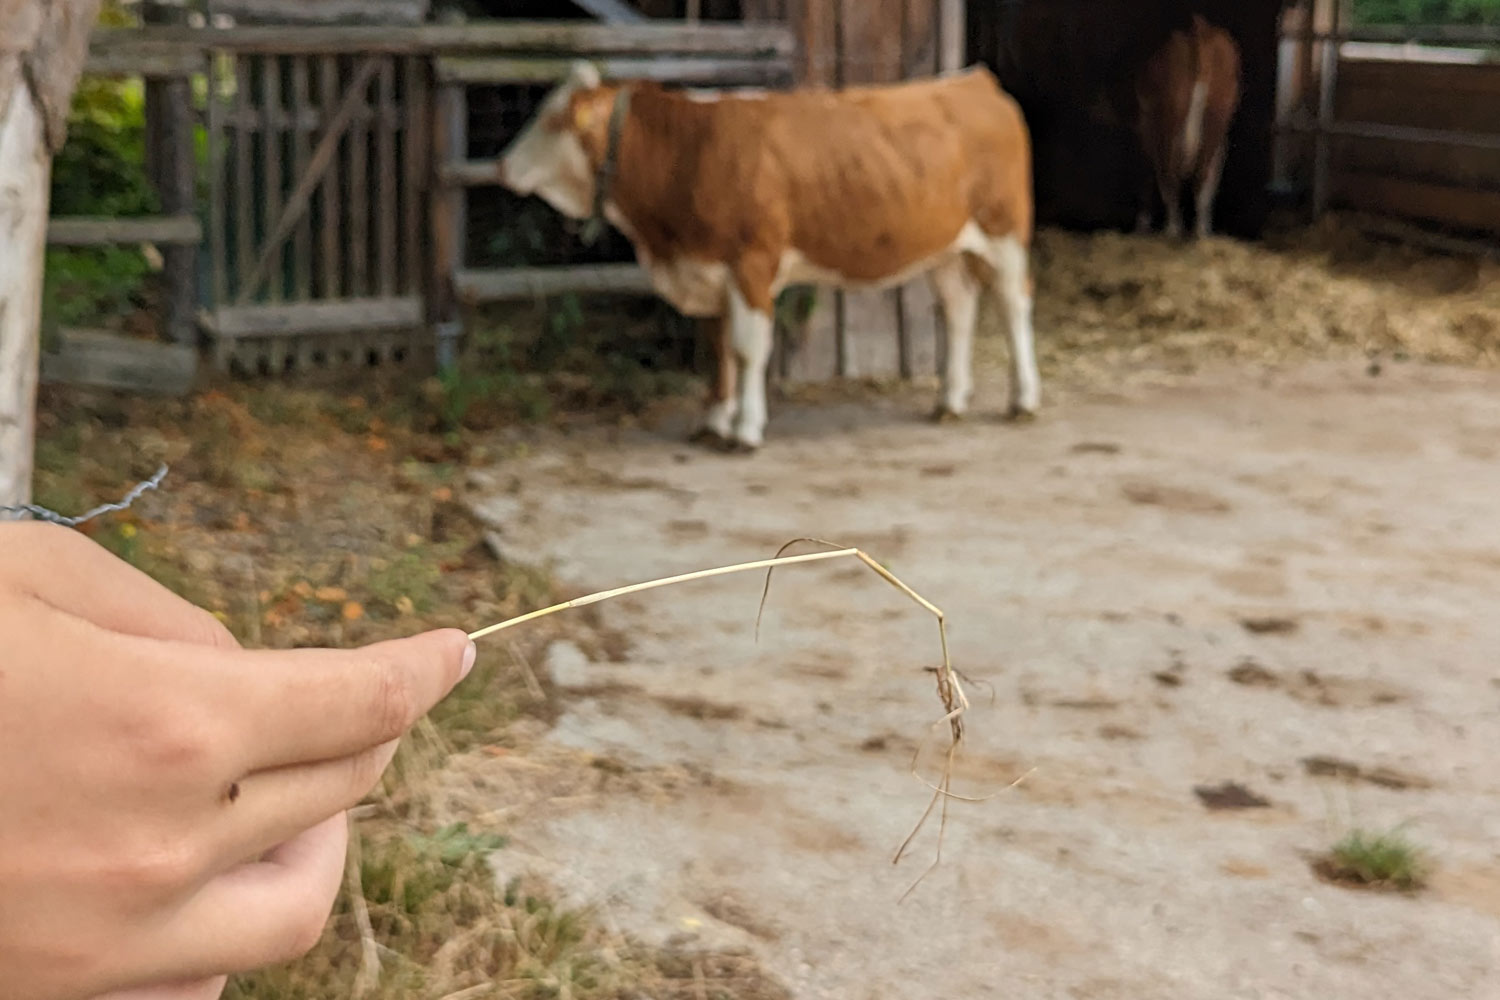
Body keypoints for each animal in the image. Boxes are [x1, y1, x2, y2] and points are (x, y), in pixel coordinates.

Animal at [498, 62, 1038, 452]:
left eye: (552, 120)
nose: (501, 165)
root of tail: (972, 79)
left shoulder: (751, 263)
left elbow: (746, 349)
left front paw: (745, 429)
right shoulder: (709, 270)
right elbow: (715, 347)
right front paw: (713, 420)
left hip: (1005, 231)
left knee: (1013, 305)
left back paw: (1024, 399)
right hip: (944, 246)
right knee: (959, 308)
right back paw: (950, 399)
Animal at [1134, 14, 1242, 239]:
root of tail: (1198, 26)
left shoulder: (1144, 130)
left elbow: (1147, 176)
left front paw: (1142, 226)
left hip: (1169, 121)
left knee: (1169, 174)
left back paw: (1172, 230)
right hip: (1216, 119)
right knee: (1203, 174)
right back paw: (1200, 233)